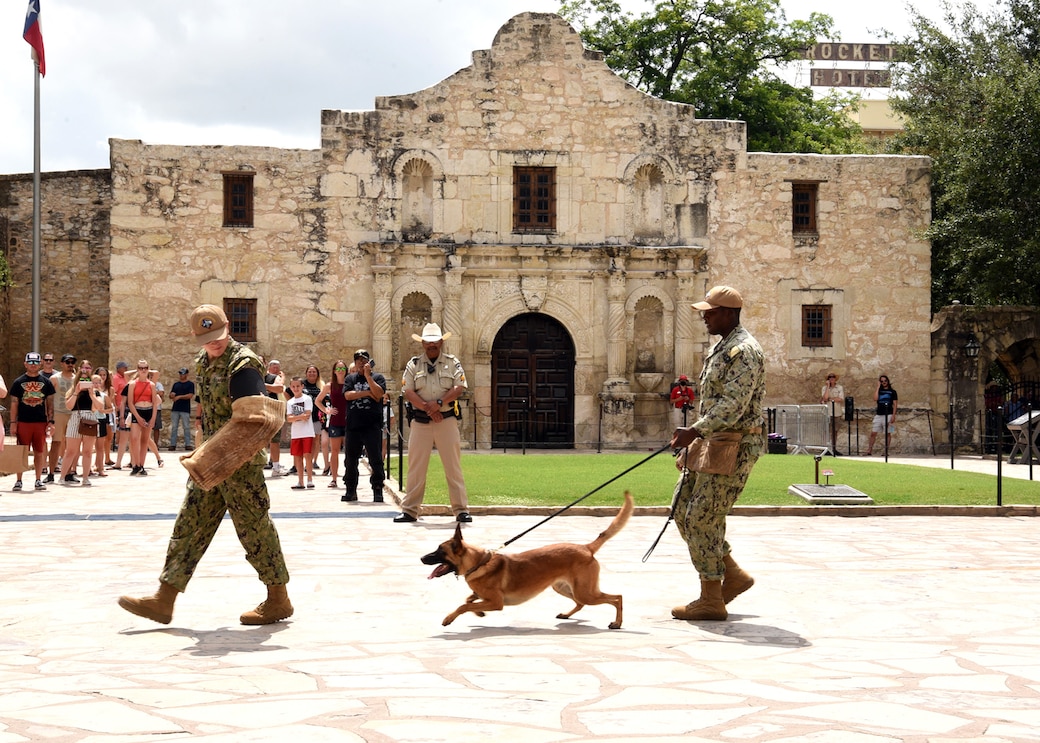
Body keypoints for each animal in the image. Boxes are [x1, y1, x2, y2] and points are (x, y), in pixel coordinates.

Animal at [416, 489, 628, 628]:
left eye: (440, 551)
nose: (421, 558)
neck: (479, 563)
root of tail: (586, 547)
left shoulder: (497, 603)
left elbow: (463, 605)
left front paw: (449, 618)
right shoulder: (485, 597)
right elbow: (469, 600)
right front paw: (478, 611)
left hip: (585, 592)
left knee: (617, 597)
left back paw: (617, 623)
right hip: (564, 588)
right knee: (581, 602)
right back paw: (567, 615)